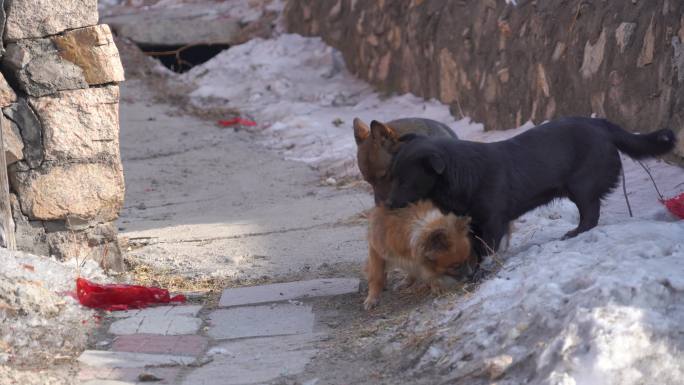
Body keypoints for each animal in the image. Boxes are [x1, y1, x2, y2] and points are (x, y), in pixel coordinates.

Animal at [388, 117, 676, 255]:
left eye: (405, 180)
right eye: (392, 177)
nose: (387, 203)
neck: (464, 175)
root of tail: (601, 124)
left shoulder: (492, 220)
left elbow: (486, 246)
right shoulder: (472, 221)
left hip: (581, 185)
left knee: (590, 214)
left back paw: (574, 233)